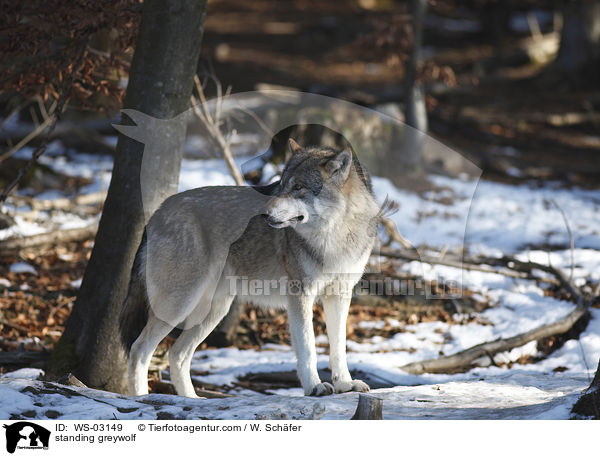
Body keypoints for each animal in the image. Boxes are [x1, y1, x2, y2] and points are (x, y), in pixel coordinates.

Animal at [120, 139, 380, 396]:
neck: (336, 236)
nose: (264, 213)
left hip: (213, 311)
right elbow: (308, 347)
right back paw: (143, 397)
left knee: (177, 354)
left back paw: (192, 400)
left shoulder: (339, 295)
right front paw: (314, 386)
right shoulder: (300, 295)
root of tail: (156, 213)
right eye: (281, 186)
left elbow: (339, 348)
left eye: (298, 187)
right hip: (180, 304)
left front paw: (345, 384)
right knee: (139, 350)